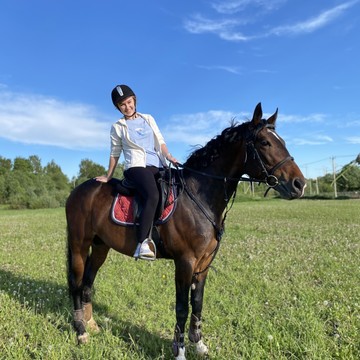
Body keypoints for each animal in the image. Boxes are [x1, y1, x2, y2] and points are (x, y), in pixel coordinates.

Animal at [66, 102, 306, 358]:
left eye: (282, 141)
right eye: (264, 142)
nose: (299, 184)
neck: (198, 195)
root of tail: (78, 191)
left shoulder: (203, 263)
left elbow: (197, 302)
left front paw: (198, 344)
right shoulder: (185, 262)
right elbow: (182, 306)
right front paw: (180, 349)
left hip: (101, 246)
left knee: (88, 281)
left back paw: (92, 324)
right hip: (79, 245)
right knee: (76, 283)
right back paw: (81, 331)